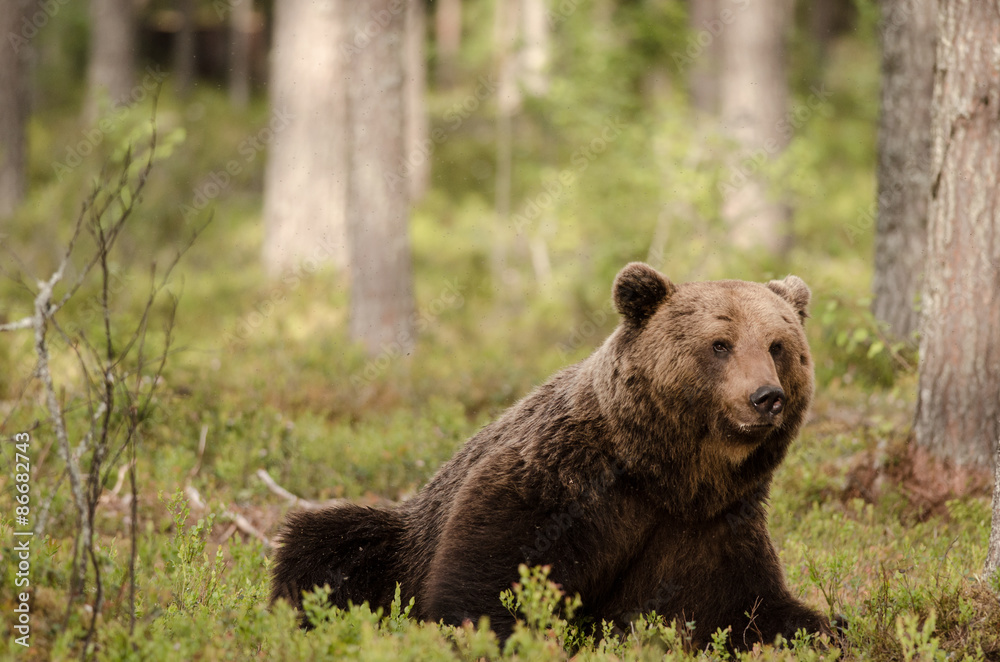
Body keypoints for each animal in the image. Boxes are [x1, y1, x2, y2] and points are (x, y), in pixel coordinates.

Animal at [270, 262, 832, 649]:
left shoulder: (713, 526)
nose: (766, 397)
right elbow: (491, 578)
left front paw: (825, 629)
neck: (666, 474)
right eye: (720, 344)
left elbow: (744, 608)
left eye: (778, 345)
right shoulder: (559, 486)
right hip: (397, 542)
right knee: (329, 546)